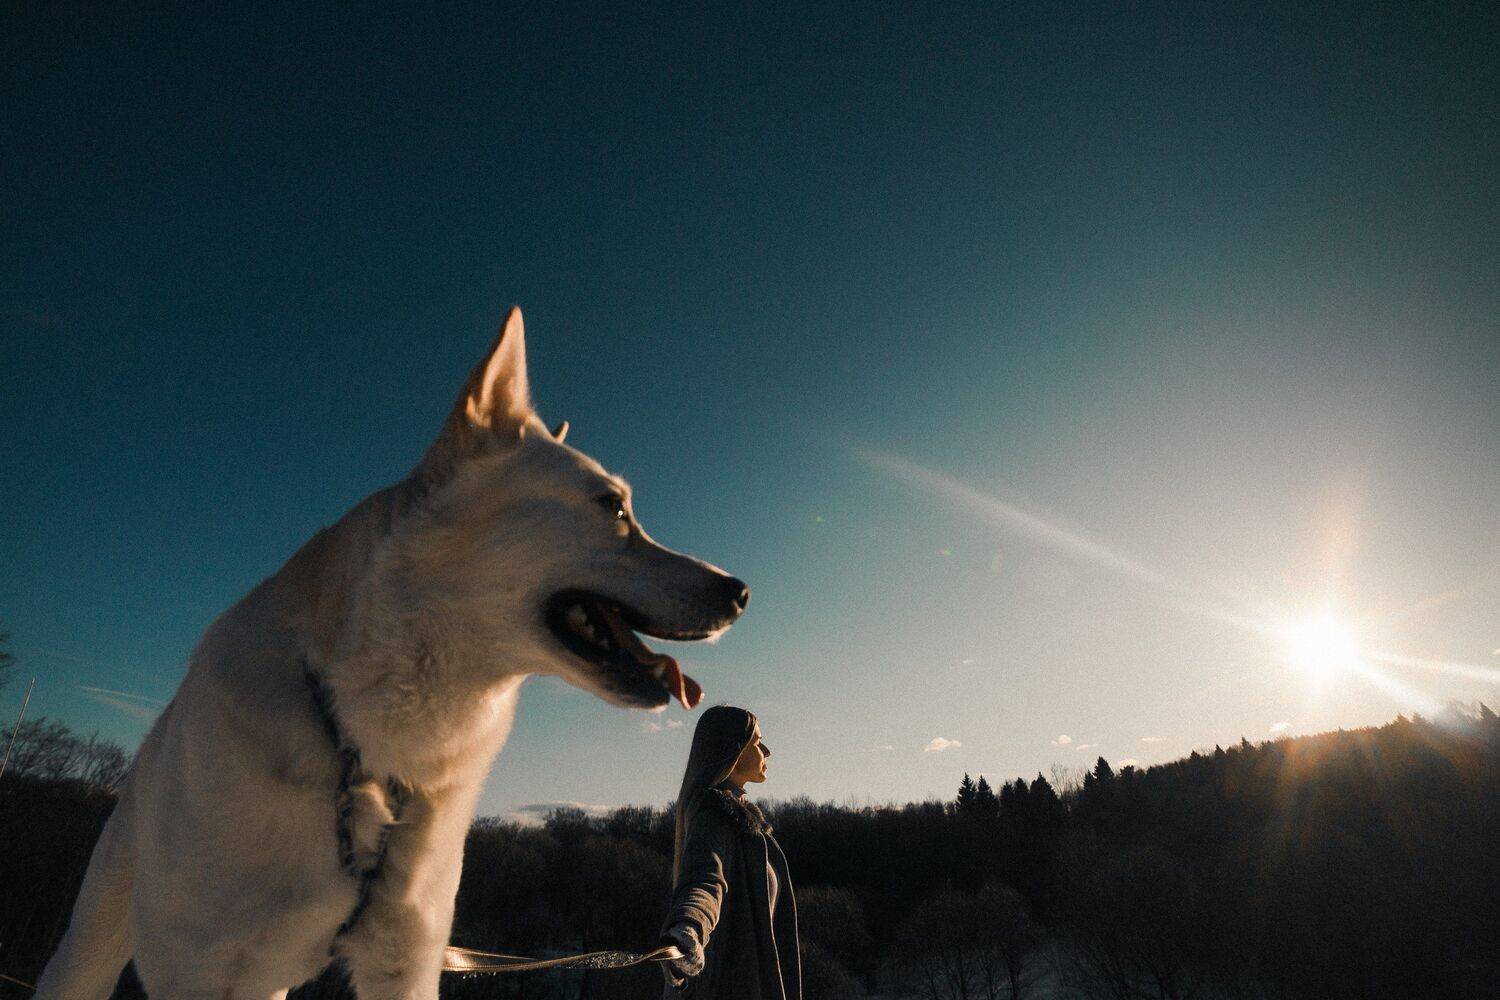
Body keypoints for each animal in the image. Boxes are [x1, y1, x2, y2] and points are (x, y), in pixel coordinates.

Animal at [35, 308, 749, 999]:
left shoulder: (406, 958)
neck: (364, 749)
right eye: (614, 507)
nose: (740, 592)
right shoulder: (199, 966)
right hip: (97, 944)